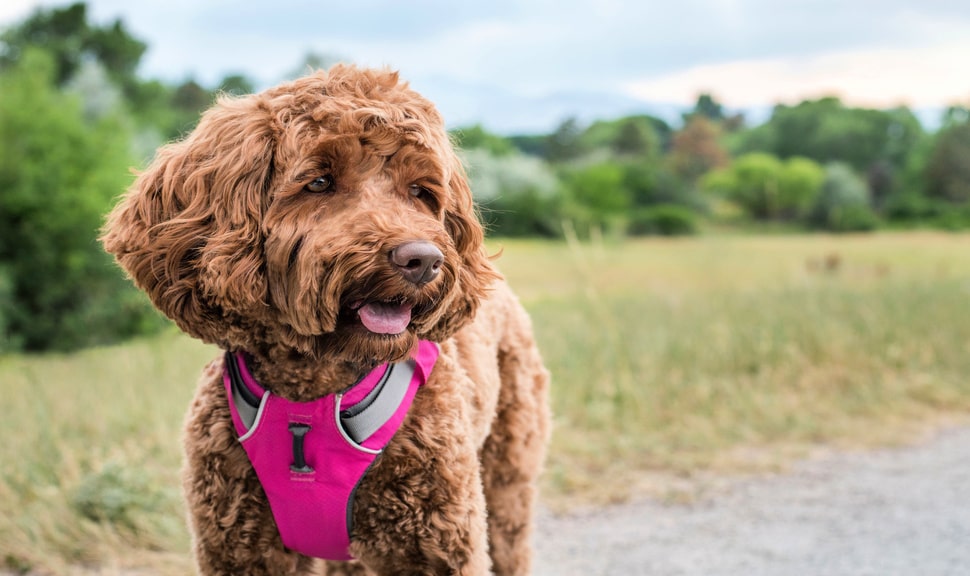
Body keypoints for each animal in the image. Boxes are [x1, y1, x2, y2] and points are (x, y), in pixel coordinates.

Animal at [103, 65, 552, 572]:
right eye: (319, 182)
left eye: (419, 191)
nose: (423, 260)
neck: (312, 390)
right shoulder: (240, 546)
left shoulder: (437, 544)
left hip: (507, 479)